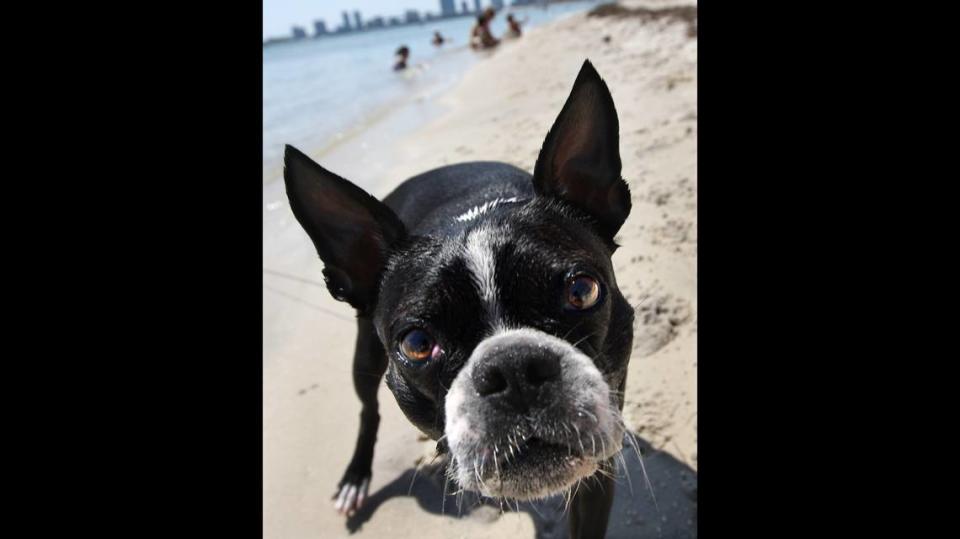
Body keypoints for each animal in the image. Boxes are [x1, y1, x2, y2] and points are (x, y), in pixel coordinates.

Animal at [282, 61, 632, 536]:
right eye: (416, 344)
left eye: (582, 292)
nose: (514, 368)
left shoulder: (599, 472)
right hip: (364, 358)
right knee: (368, 410)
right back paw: (356, 478)